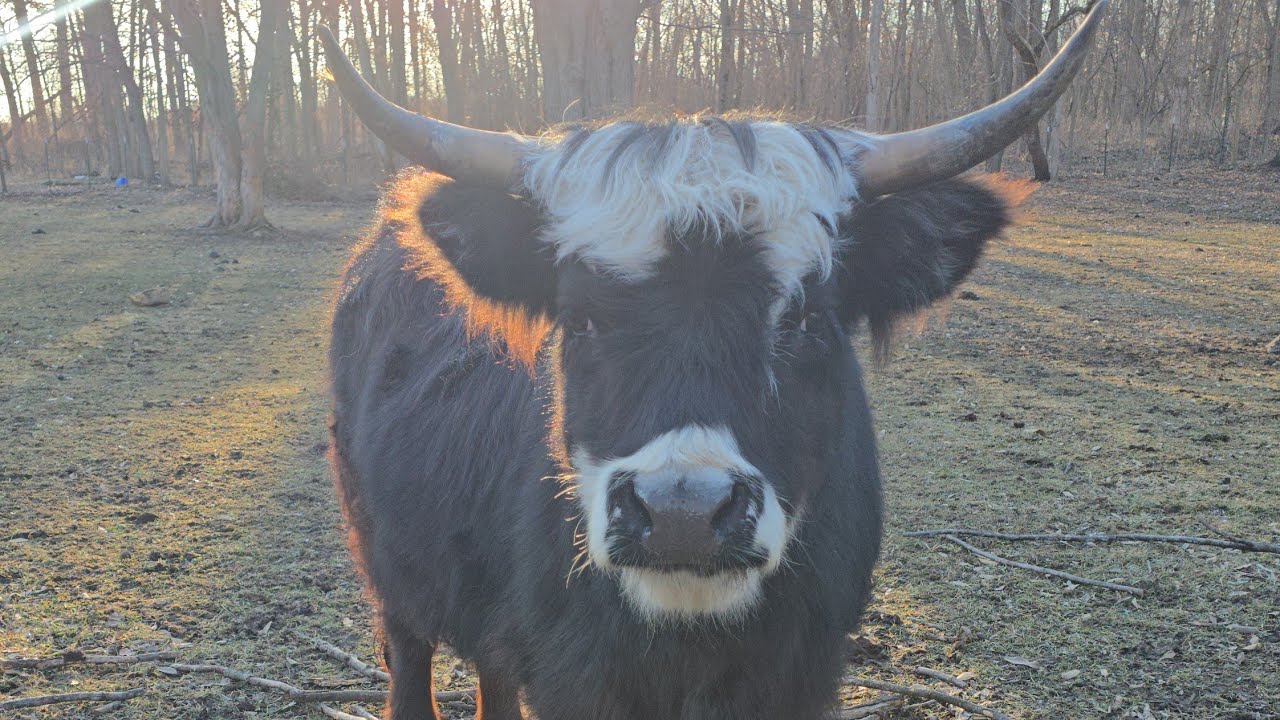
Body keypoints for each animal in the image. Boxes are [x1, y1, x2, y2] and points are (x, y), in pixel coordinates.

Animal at [320, 4, 1106, 718]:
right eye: (582, 319)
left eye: (807, 320)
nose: (682, 514)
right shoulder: (575, 676)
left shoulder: (798, 674)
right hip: (385, 562)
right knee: (410, 659)